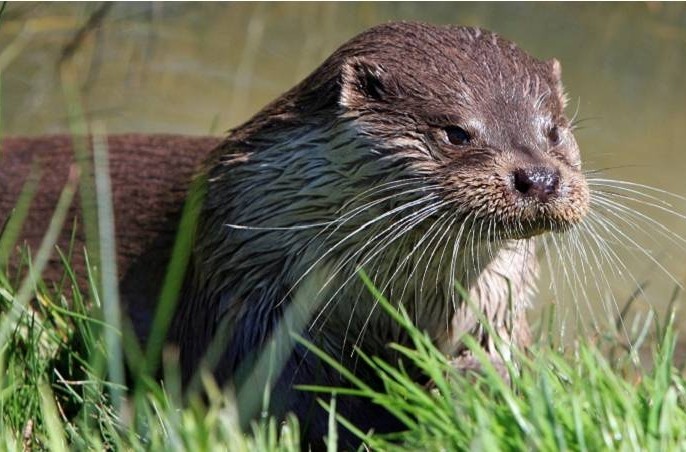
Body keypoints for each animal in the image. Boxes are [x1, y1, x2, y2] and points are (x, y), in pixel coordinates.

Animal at [0, 23, 592, 446]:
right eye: (455, 132)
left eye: (553, 131)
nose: (540, 178)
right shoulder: (247, 294)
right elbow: (281, 393)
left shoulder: (495, 304)